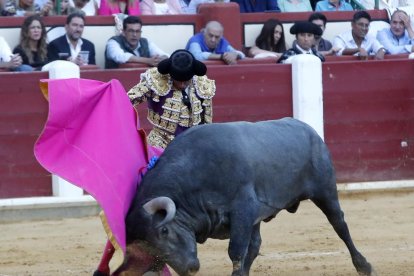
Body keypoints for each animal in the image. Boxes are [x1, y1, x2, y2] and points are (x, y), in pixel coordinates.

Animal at [122, 118, 372, 276]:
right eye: (147, 245)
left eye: (164, 230)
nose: (190, 269)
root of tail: (309, 130)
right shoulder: (249, 215)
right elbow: (246, 250)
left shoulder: (242, 209)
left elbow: (235, 252)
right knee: (255, 245)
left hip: (325, 191)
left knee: (340, 225)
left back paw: (364, 266)